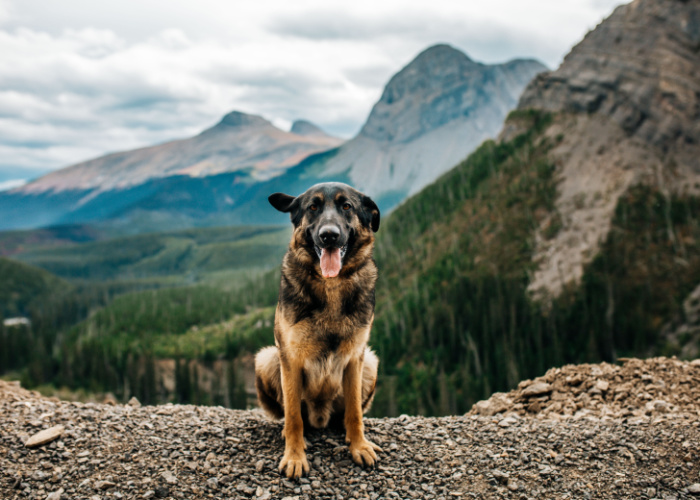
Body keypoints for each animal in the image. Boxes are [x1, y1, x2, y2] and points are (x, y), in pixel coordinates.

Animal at [253, 182, 380, 478]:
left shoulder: (356, 357)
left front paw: (359, 446)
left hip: (370, 361)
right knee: (295, 416)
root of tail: (320, 416)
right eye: (313, 207)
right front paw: (294, 456)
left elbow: (355, 412)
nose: (329, 236)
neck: (330, 284)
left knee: (344, 414)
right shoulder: (290, 359)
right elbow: (293, 418)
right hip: (267, 358)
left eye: (347, 206)